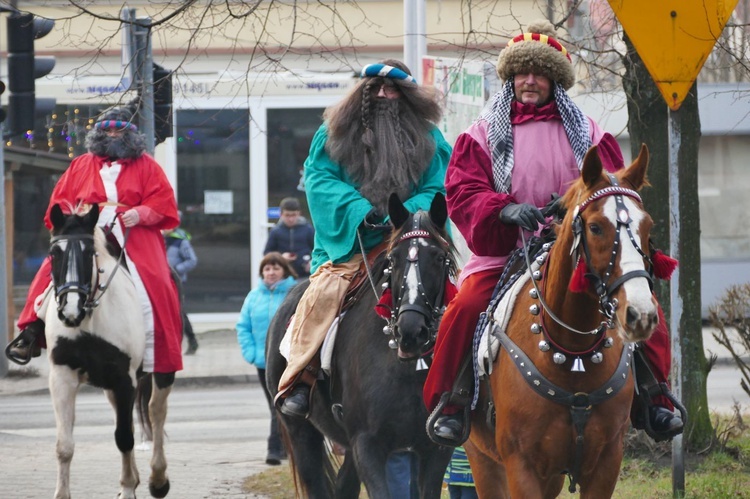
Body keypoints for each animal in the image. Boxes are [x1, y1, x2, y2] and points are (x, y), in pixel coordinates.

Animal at [44, 204, 174, 499]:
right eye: (54, 254)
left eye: (88, 253)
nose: (70, 311)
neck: (90, 319)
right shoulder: (62, 376)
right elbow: (64, 445)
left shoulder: (123, 377)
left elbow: (124, 437)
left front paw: (128, 487)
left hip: (160, 370)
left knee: (155, 411)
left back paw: (157, 478)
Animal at [268, 193, 458, 498]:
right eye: (394, 258)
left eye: (439, 258)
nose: (411, 330)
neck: (405, 366)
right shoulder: (367, 444)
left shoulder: (434, 449)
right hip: (300, 433)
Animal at [470, 146, 664, 499]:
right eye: (596, 227)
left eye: (647, 226)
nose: (640, 314)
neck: (573, 352)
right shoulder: (521, 467)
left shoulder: (606, 463)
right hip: (482, 459)